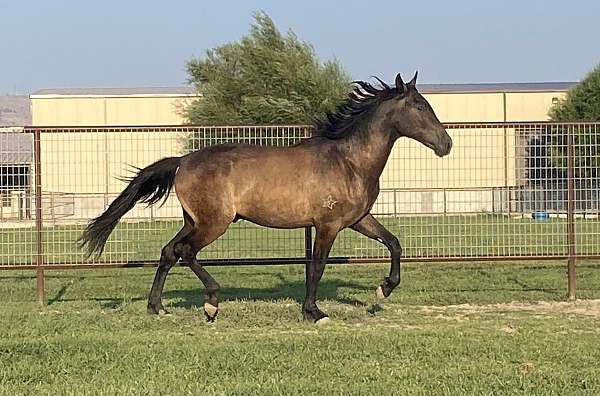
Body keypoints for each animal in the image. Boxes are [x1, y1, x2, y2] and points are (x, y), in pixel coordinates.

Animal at [81, 72, 454, 324]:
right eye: (419, 106)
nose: (446, 144)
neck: (348, 160)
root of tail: (182, 162)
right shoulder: (328, 225)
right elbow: (317, 266)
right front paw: (314, 312)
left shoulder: (358, 220)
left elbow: (394, 243)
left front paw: (384, 288)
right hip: (214, 224)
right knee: (185, 251)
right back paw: (211, 303)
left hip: (194, 220)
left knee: (168, 251)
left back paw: (157, 307)